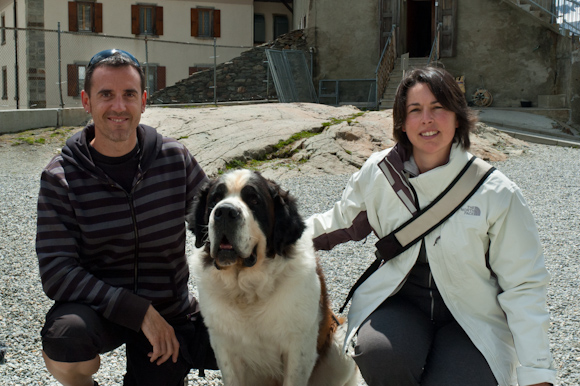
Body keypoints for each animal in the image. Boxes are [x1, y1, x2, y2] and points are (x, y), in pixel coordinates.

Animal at [188, 170, 358, 386]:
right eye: (215, 199)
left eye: (254, 200)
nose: (225, 212)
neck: (247, 289)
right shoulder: (223, 346)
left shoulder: (298, 348)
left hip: (339, 346)